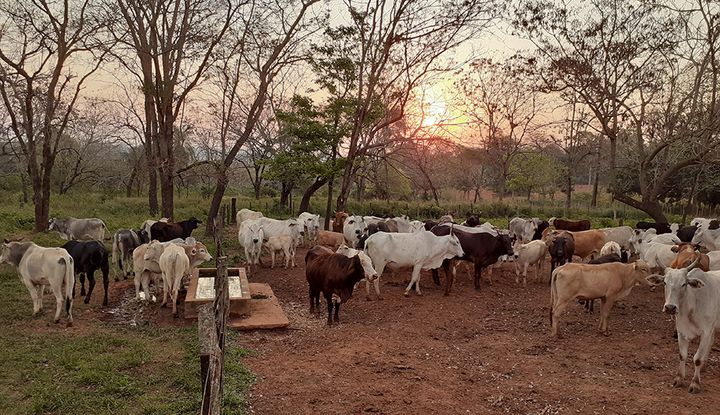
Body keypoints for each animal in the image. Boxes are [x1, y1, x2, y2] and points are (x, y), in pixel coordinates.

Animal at [644, 262, 720, 394]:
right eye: (665, 282)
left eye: (684, 284)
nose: (670, 307)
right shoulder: (681, 331)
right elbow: (682, 355)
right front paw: (678, 379)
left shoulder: (706, 332)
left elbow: (697, 358)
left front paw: (695, 384)